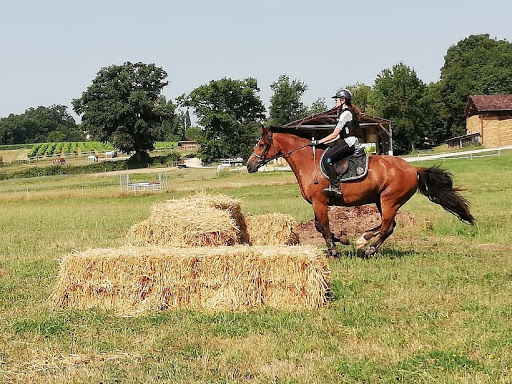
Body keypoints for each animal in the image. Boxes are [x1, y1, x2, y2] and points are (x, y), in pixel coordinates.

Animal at [246, 126, 474, 258]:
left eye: (261, 144)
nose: (249, 165)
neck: (308, 162)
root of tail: (413, 168)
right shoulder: (317, 204)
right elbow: (319, 227)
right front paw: (342, 240)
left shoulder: (320, 203)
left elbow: (325, 228)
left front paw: (334, 251)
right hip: (381, 201)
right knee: (389, 226)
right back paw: (363, 239)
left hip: (390, 200)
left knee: (387, 227)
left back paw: (368, 248)